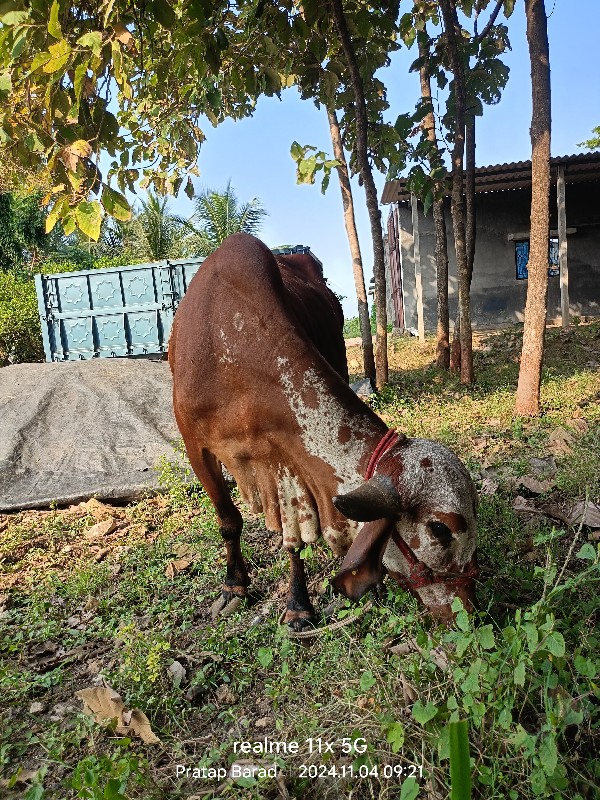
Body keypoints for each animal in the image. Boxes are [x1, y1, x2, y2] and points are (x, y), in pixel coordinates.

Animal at [169, 234, 478, 628]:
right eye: (440, 529)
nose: (471, 611)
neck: (233, 347)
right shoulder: (196, 444)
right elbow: (228, 521)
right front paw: (234, 585)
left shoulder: (288, 459)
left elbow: (294, 541)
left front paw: (298, 604)